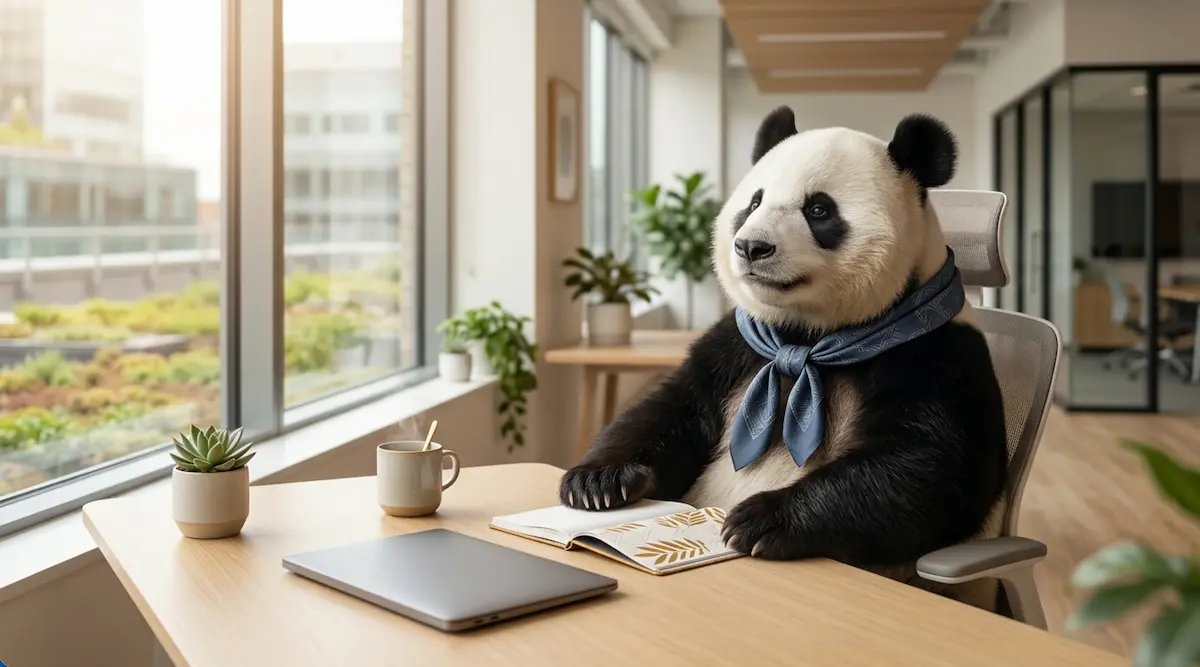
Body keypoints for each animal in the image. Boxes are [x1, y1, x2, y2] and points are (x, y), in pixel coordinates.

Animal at [559, 106, 1010, 612]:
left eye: (819, 210)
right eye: (754, 202)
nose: (751, 247)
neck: (807, 339)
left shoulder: (934, 352)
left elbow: (930, 465)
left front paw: (759, 520)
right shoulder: (739, 346)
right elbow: (673, 408)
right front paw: (598, 482)